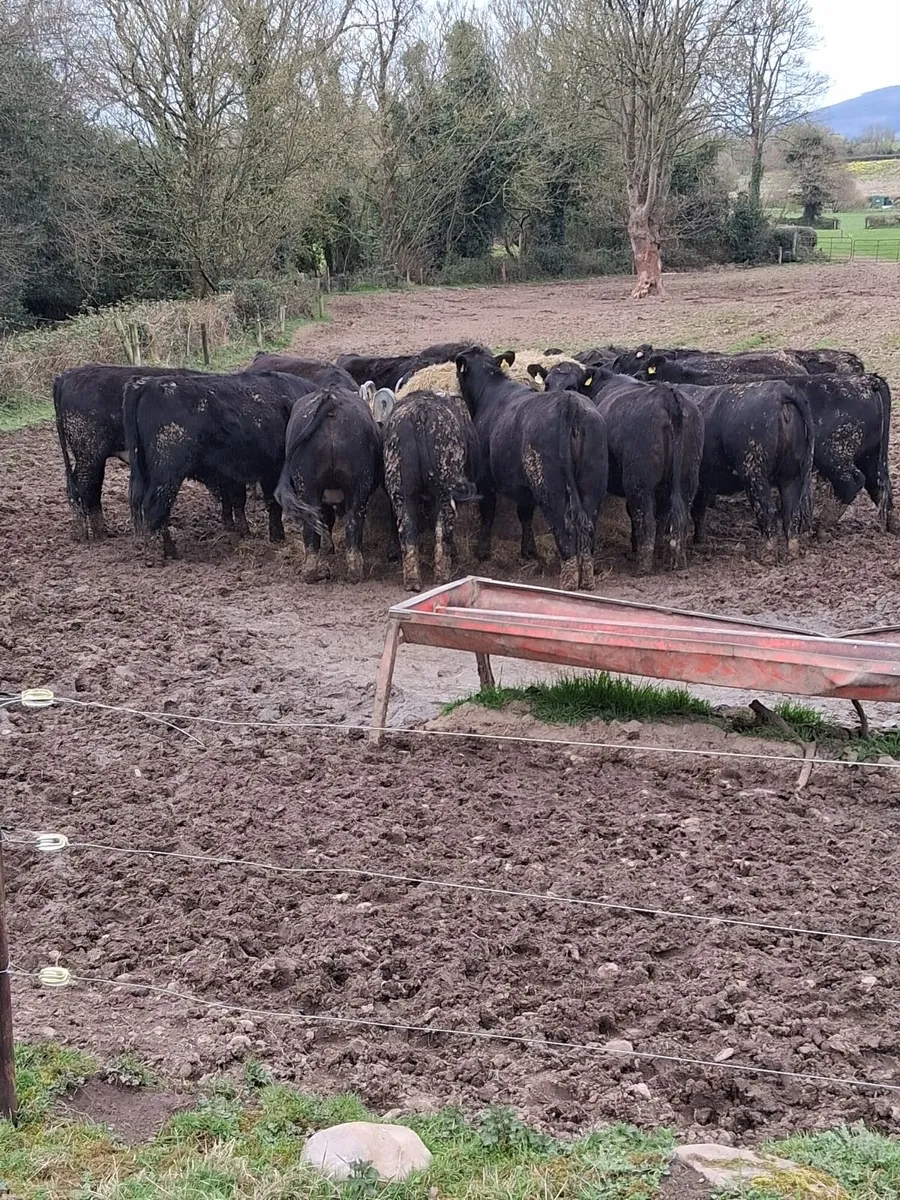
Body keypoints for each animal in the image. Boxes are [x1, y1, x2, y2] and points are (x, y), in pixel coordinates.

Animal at [123, 371, 317, 558]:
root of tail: (146, 383)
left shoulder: (234, 474)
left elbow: (238, 501)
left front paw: (244, 532)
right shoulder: (271, 470)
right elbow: (272, 503)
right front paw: (277, 537)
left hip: (145, 471)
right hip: (167, 474)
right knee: (156, 508)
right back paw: (169, 551)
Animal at [381, 390, 481, 591]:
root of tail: (419, 414)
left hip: (401, 491)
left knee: (408, 531)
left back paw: (413, 580)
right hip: (444, 490)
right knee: (443, 529)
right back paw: (443, 576)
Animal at [455, 349, 607, 591]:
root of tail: (569, 403)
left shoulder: (485, 481)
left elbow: (488, 512)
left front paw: (482, 552)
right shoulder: (524, 488)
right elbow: (524, 514)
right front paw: (528, 551)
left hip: (550, 487)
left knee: (564, 527)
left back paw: (569, 580)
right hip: (592, 485)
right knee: (588, 527)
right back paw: (586, 578)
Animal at [540, 361, 703, 573]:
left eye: (572, 386)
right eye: (547, 383)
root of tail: (667, 394)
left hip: (639, 482)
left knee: (646, 520)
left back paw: (643, 566)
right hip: (688, 478)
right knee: (677, 519)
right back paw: (675, 560)